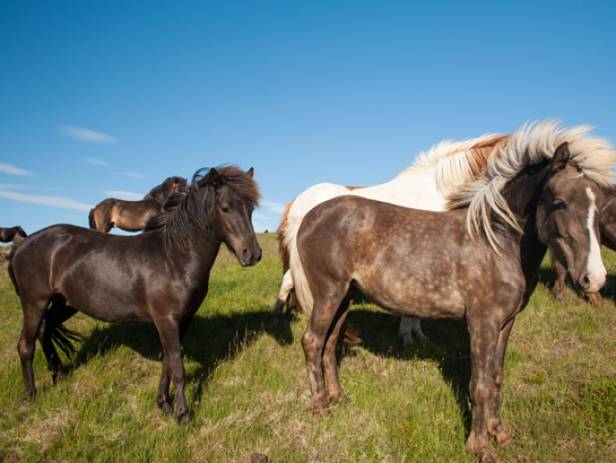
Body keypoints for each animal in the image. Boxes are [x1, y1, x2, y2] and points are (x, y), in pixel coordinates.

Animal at [9, 167, 260, 424]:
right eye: (225, 208)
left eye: (251, 209)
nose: (252, 254)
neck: (174, 257)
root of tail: (21, 245)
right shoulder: (166, 320)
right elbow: (177, 367)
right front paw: (182, 414)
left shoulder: (182, 320)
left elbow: (168, 361)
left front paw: (163, 404)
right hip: (34, 302)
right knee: (25, 345)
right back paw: (32, 394)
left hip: (65, 303)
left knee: (45, 330)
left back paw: (58, 376)